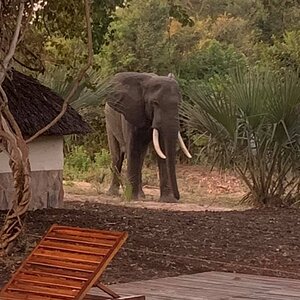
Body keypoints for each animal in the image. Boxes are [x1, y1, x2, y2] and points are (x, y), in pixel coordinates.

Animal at [104, 72, 191, 203]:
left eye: (179, 104)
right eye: (155, 103)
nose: (178, 197)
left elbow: (162, 150)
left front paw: (168, 200)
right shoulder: (130, 112)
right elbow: (133, 149)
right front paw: (131, 198)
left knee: (141, 157)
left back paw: (141, 195)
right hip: (109, 120)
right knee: (117, 155)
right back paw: (112, 193)